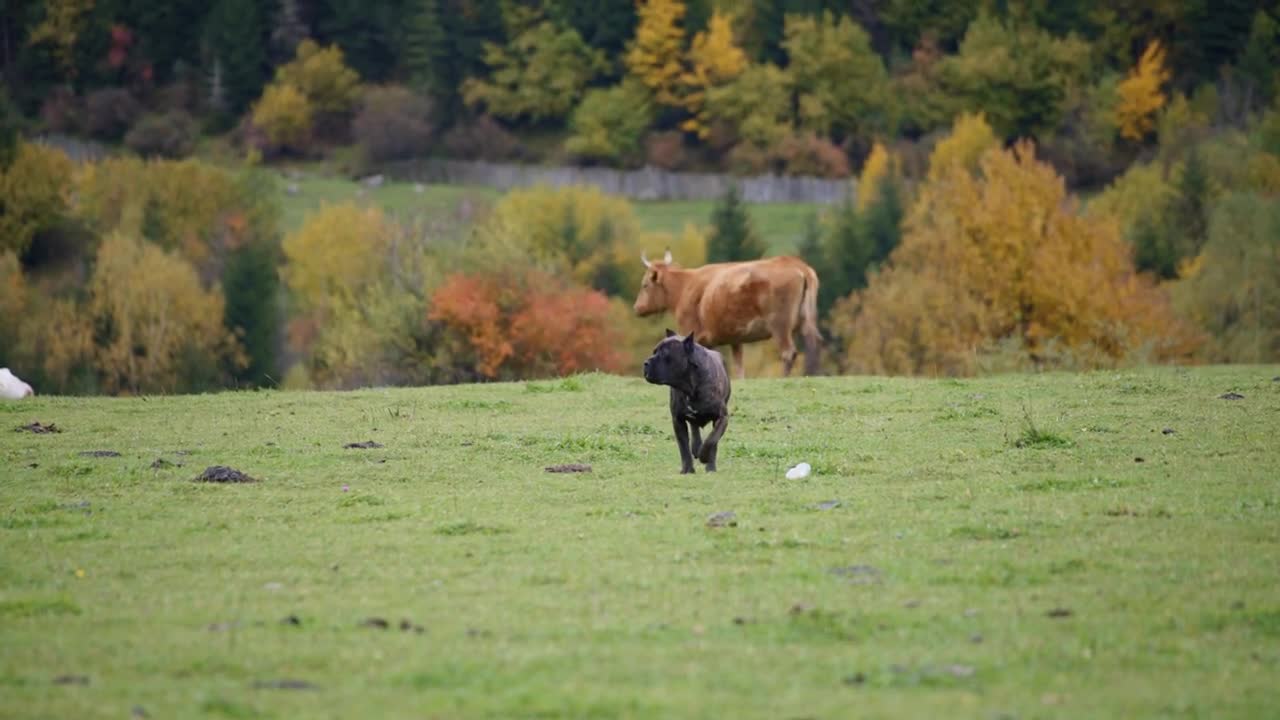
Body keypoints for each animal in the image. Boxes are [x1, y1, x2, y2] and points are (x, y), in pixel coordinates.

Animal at [629, 251, 819, 379]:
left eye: (645, 285)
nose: (637, 308)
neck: (685, 286)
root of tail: (795, 263)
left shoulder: (692, 332)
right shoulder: (736, 339)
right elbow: (739, 367)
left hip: (780, 324)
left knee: (788, 352)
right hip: (807, 321)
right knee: (814, 344)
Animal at [640, 330, 732, 471]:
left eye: (664, 353)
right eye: (654, 351)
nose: (646, 363)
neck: (691, 387)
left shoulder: (722, 418)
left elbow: (712, 440)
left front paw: (705, 458)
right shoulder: (678, 420)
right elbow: (683, 448)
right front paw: (687, 470)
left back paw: (709, 464)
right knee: (694, 427)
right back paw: (696, 447)